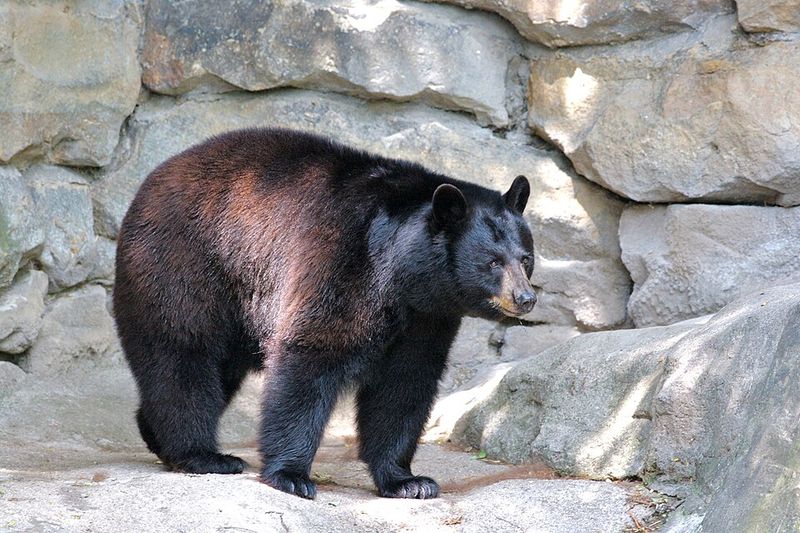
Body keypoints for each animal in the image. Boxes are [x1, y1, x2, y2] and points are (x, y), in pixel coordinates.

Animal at [113, 128, 536, 500]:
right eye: (492, 262)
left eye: (526, 258)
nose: (525, 298)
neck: (403, 276)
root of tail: (152, 180)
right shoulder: (342, 261)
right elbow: (311, 354)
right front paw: (291, 476)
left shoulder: (426, 319)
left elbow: (405, 382)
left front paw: (408, 481)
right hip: (186, 264)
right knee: (182, 354)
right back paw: (203, 455)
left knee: (218, 370)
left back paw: (156, 435)